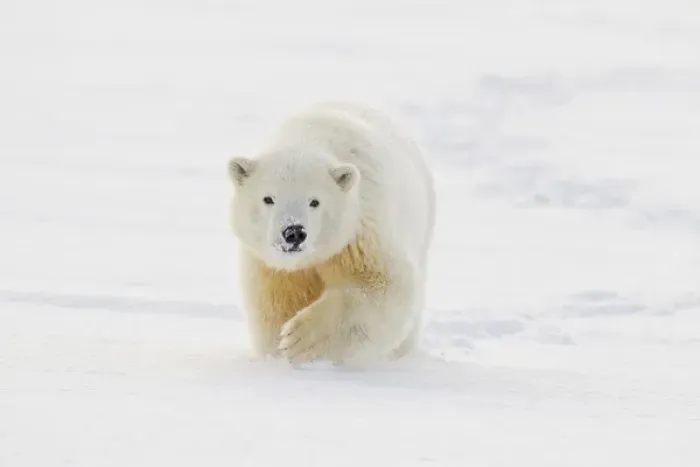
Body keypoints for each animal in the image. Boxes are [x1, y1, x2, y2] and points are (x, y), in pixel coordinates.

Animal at [227, 101, 436, 364]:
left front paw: (300, 339)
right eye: (268, 198)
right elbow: (279, 302)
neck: (307, 135)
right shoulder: (269, 266)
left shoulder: (359, 234)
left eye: (314, 201)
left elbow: (386, 286)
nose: (294, 232)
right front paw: (279, 351)